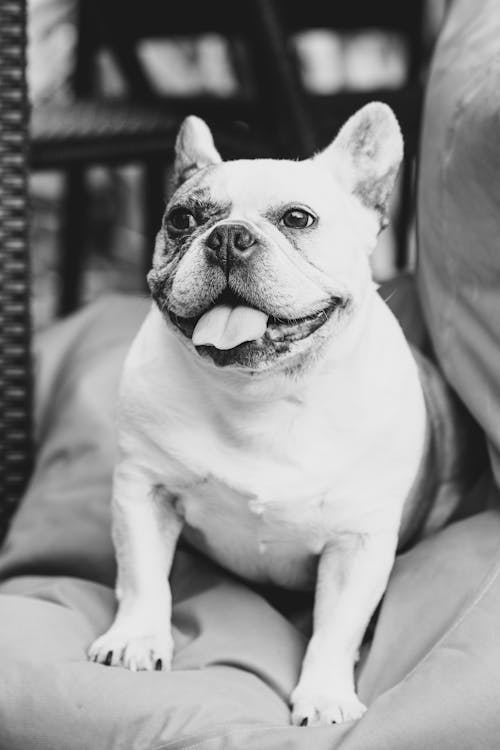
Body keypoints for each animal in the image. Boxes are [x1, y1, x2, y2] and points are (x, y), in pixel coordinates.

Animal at [88, 103, 432, 724]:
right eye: (181, 220)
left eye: (298, 218)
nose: (228, 236)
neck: (261, 395)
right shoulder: (144, 489)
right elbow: (143, 576)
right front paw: (136, 640)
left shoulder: (359, 539)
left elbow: (336, 627)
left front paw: (324, 696)